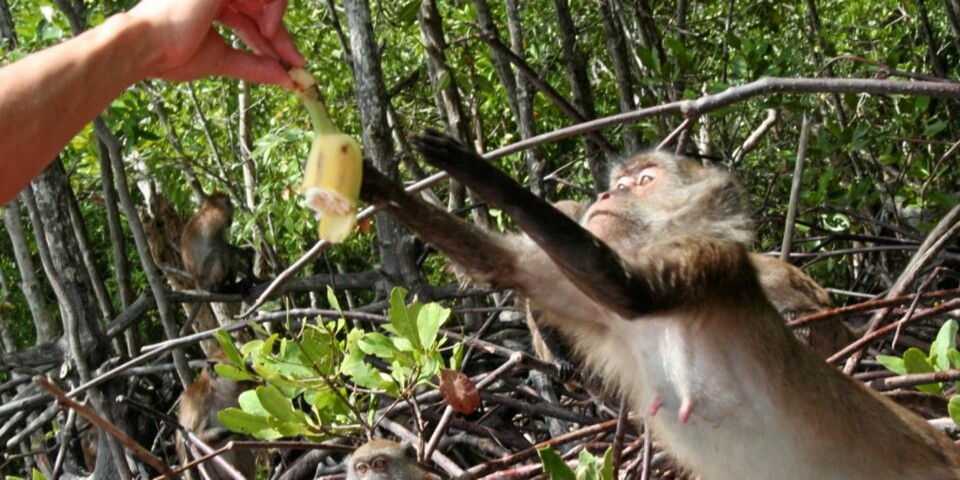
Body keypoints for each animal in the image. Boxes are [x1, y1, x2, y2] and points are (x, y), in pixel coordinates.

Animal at [358, 130, 960, 479]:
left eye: (642, 182)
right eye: (620, 183)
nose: (606, 194)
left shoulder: (712, 261)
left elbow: (627, 287)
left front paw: (472, 168)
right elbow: (500, 265)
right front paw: (375, 183)